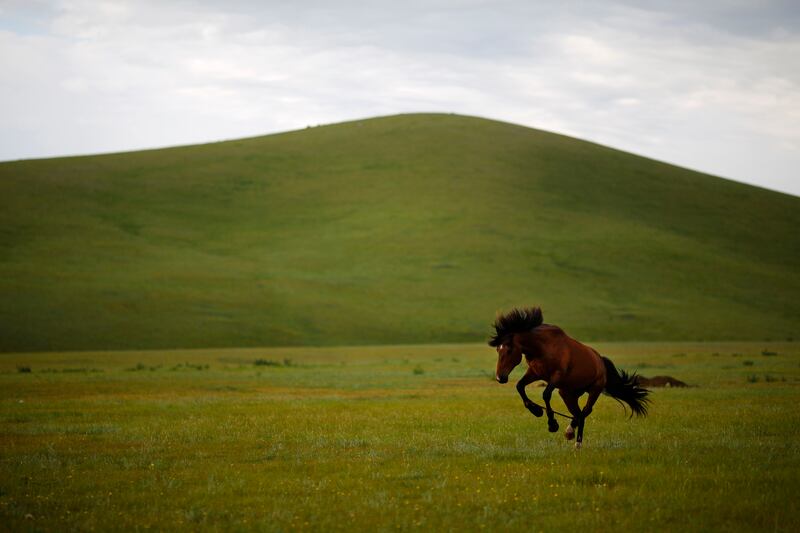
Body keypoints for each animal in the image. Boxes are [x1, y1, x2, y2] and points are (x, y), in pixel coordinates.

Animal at [490, 307, 649, 448]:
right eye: (498, 349)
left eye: (509, 349)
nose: (500, 377)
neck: (543, 347)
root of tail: (600, 361)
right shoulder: (534, 373)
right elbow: (520, 386)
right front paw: (536, 411)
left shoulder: (556, 376)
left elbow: (545, 394)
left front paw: (552, 424)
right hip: (568, 393)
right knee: (577, 413)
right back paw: (570, 432)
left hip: (594, 390)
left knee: (586, 411)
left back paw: (576, 441)